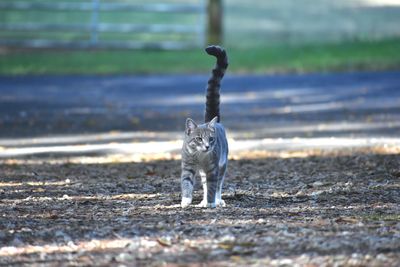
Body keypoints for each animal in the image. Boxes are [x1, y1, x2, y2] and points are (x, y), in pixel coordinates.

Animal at [180, 45, 228, 209]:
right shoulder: (188, 166)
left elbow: (213, 186)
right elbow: (187, 184)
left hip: (222, 164)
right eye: (199, 139)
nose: (207, 146)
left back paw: (217, 200)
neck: (200, 156)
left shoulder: (213, 168)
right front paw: (186, 200)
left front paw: (212, 202)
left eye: (211, 139)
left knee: (218, 184)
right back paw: (203, 201)